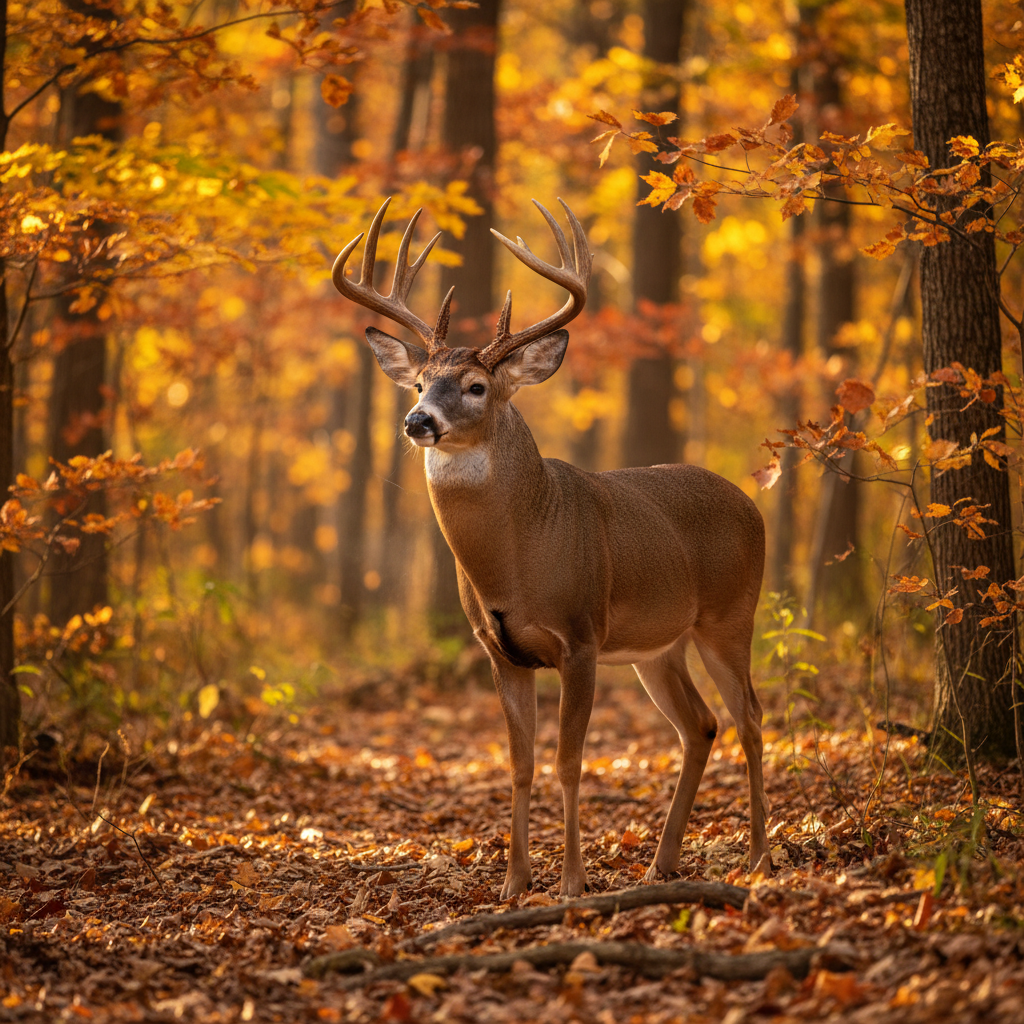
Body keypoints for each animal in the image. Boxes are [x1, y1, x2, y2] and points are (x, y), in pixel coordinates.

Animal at [332, 198, 771, 898]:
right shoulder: (501, 650)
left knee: (751, 718)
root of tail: (752, 504)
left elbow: (570, 761)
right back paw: (662, 863)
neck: (520, 555)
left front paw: (570, 882)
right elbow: (520, 764)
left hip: (730, 615)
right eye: (420, 383)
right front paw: (513, 884)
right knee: (701, 724)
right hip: (660, 647)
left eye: (477, 386)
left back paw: (755, 857)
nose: (417, 421)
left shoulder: (581, 636)